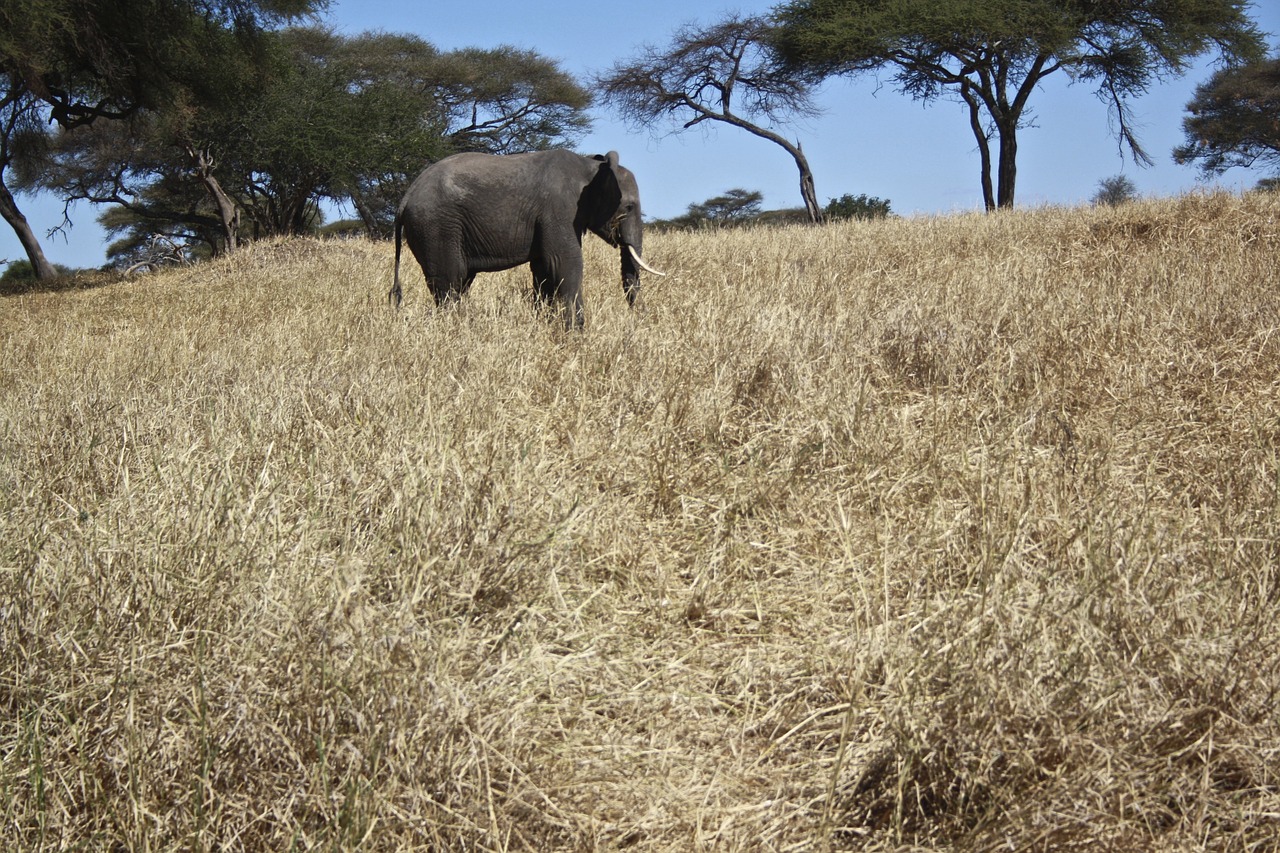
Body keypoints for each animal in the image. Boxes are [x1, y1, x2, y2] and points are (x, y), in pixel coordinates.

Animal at [386, 147, 665, 324]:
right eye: (629, 207)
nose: (637, 319)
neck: (591, 168)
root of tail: (406, 197)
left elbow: (543, 269)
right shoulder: (559, 210)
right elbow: (565, 263)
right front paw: (575, 333)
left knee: (459, 282)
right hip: (436, 226)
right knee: (450, 282)